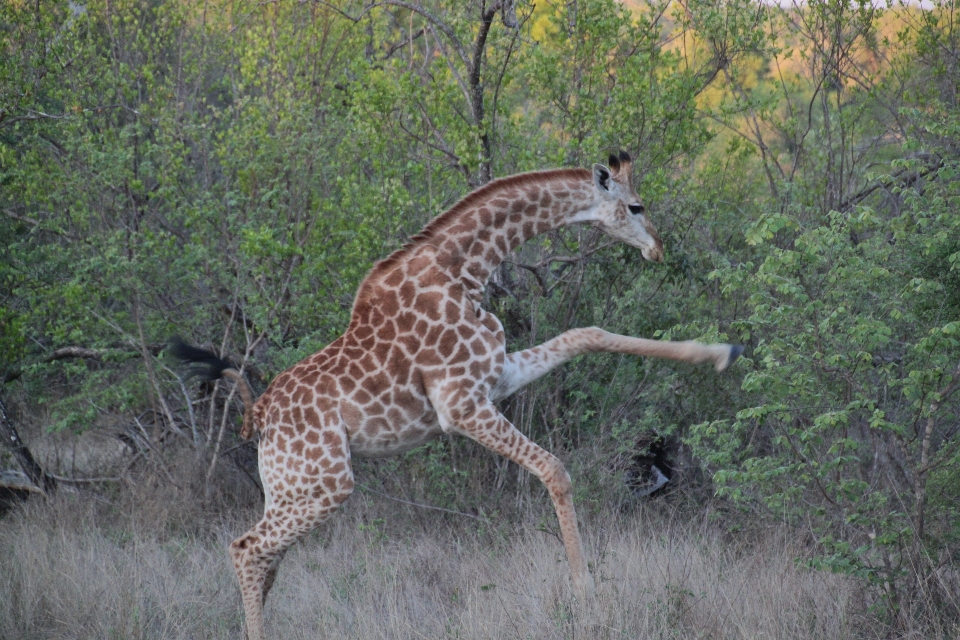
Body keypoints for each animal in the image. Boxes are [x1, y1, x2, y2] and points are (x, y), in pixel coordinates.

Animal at [174, 151, 744, 640]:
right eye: (636, 205)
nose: (657, 249)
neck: (464, 270)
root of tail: (259, 413)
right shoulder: (461, 405)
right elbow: (554, 469)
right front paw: (587, 595)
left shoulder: (497, 376)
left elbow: (589, 333)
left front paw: (722, 352)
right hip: (326, 484)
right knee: (245, 549)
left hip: (290, 487)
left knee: (265, 560)